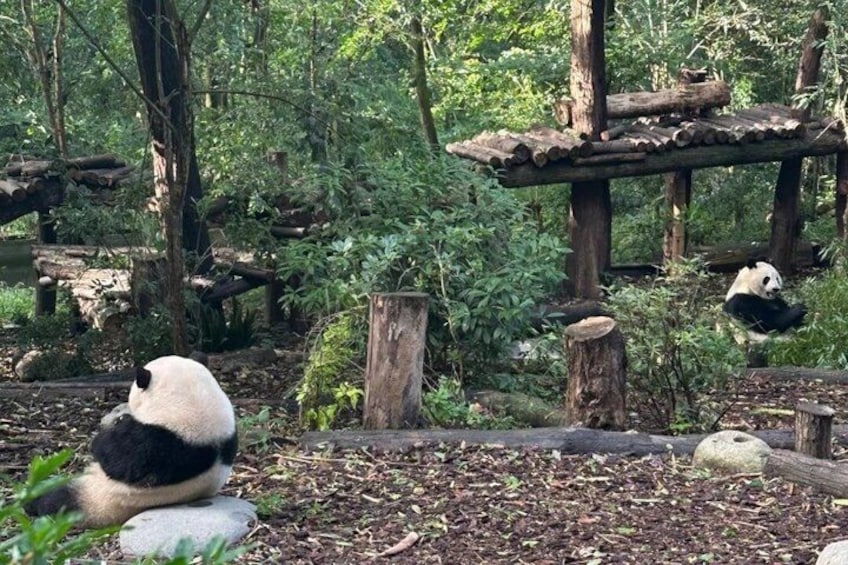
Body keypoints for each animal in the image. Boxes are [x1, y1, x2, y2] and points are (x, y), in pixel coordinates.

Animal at [26, 355, 237, 528]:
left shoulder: (159, 444)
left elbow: (121, 460)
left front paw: (105, 435)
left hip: (99, 499)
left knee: (57, 499)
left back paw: (33, 502)